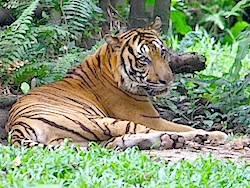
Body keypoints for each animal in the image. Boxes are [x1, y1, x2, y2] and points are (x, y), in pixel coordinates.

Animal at [6, 17, 229, 150]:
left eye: (163, 52)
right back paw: (200, 136)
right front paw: (214, 134)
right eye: (144, 59)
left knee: (113, 143)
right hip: (101, 121)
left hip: (79, 141)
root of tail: (17, 126)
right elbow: (181, 125)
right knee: (145, 132)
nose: (168, 80)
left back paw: (170, 140)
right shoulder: (150, 118)